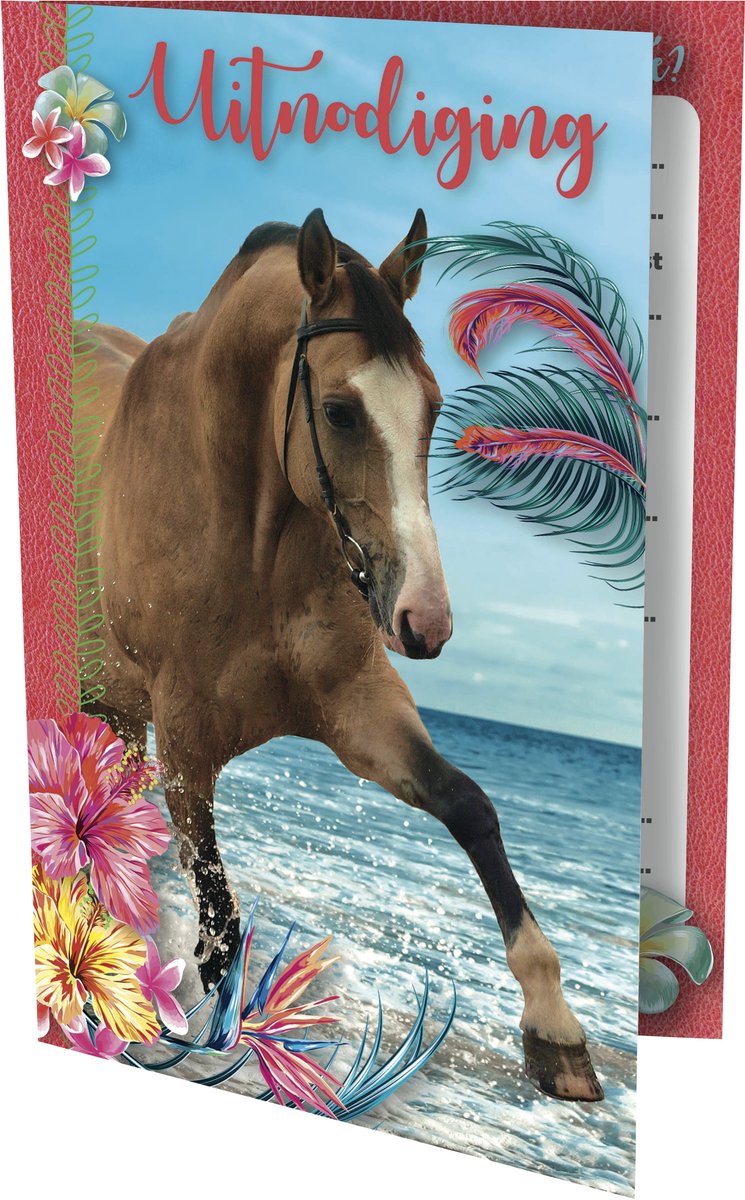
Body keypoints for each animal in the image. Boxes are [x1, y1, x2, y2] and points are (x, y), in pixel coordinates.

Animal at [84, 207, 603, 1102]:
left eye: (431, 407)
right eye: (338, 412)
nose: (424, 620)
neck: (245, 542)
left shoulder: (359, 705)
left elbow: (469, 806)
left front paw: (555, 1028)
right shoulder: (185, 741)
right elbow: (220, 930)